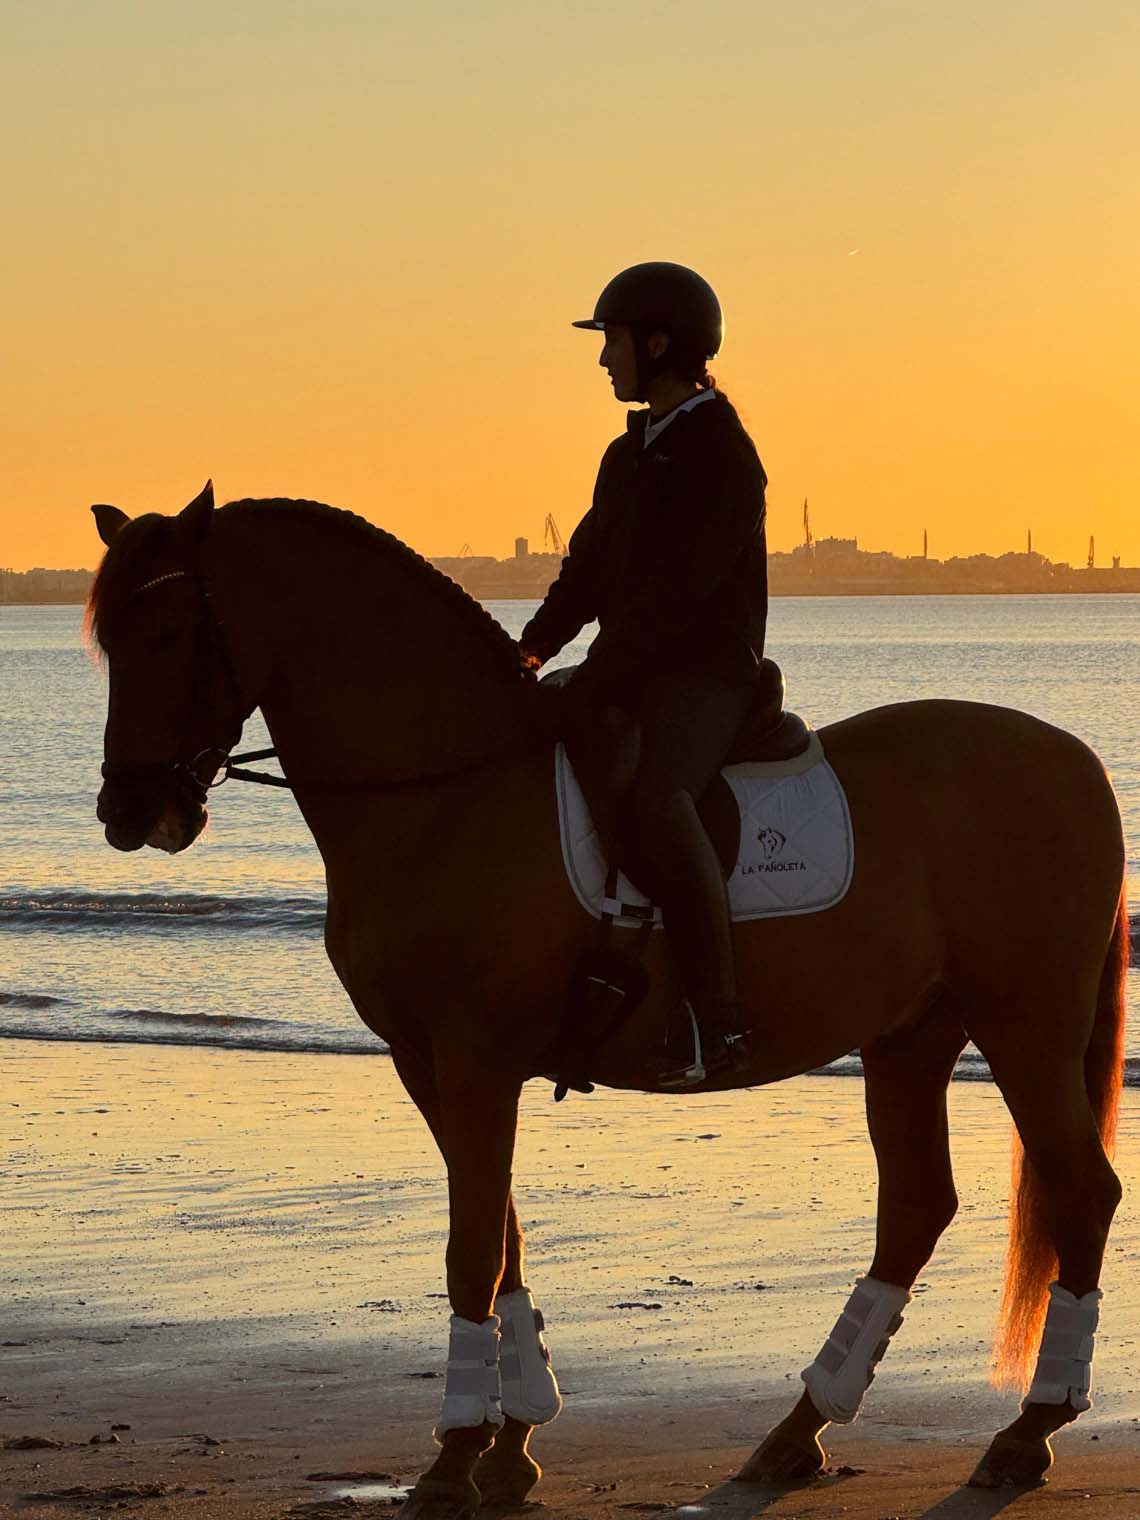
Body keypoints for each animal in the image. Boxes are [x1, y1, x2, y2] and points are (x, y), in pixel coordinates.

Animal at [87, 484, 1127, 1514]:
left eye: (169, 631)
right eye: (108, 639)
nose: (130, 812)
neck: (448, 792)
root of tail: (1072, 758)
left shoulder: (476, 1059)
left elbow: (473, 1247)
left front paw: (455, 1456)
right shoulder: (430, 1064)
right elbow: (501, 1235)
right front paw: (509, 1443)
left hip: (1025, 1024)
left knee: (1081, 1189)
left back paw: (1025, 1432)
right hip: (911, 1033)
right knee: (915, 1206)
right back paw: (797, 1435)